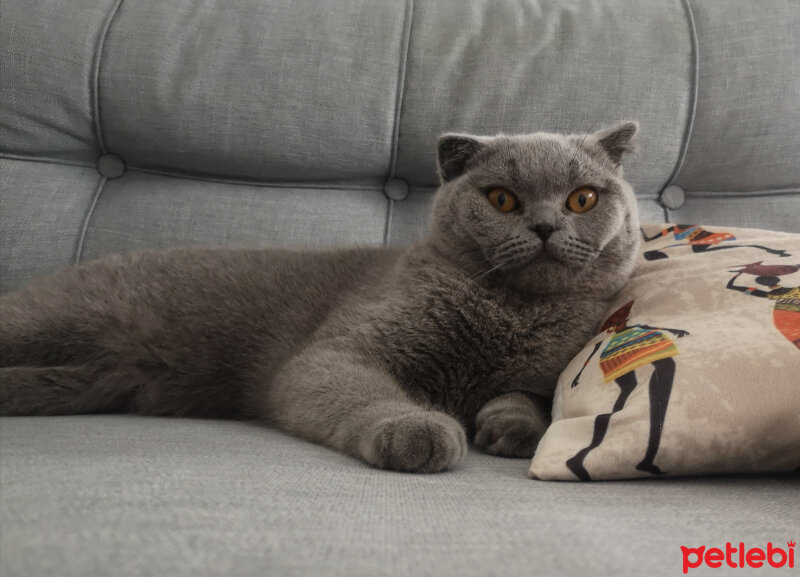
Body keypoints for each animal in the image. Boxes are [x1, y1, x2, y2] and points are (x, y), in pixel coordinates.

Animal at [0, 121, 636, 472]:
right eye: (502, 199)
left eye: (582, 199)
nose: (546, 227)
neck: (513, 313)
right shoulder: (337, 353)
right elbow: (361, 389)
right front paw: (418, 430)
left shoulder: (536, 374)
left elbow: (526, 400)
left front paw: (509, 429)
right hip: (50, 322)